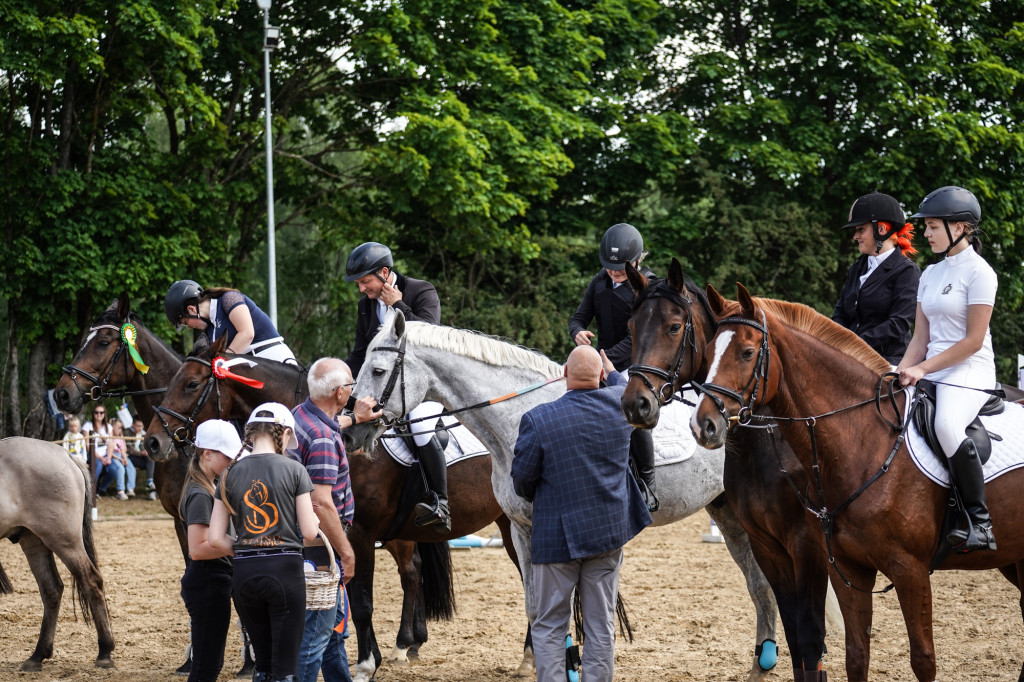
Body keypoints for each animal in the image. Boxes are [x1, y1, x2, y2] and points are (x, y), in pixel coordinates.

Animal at [0, 438, 116, 667]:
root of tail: (66, 455)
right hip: (33, 539)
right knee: (51, 589)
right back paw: (38, 655)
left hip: (64, 540)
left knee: (91, 581)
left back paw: (105, 652)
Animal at [140, 337, 528, 679]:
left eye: (191, 383)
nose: (152, 443)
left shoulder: (358, 534)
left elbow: (362, 602)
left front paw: (366, 664)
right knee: (416, 571)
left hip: (512, 526)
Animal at [344, 309, 782, 679]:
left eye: (378, 370)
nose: (350, 430)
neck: (520, 414)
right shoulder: (521, 528)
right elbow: (535, 601)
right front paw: (535, 660)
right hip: (727, 514)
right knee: (760, 584)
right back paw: (761, 663)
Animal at [688, 278, 1024, 675]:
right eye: (708, 352)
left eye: (746, 352)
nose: (703, 425)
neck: (865, 442)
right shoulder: (848, 569)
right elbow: (856, 655)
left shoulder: (909, 570)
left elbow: (923, 659)